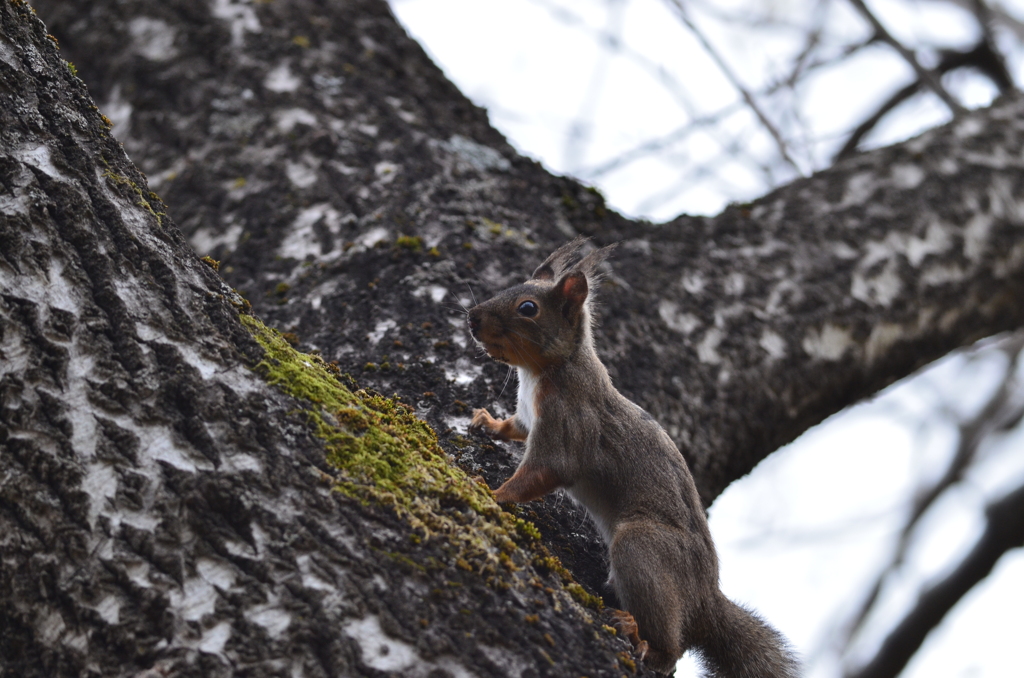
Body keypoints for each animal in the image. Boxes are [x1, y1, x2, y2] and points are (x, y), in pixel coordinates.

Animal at [466, 237, 798, 675]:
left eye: (527, 308)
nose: (472, 318)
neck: (544, 371)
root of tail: (704, 603)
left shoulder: (569, 416)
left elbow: (548, 468)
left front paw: (494, 493)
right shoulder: (527, 414)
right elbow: (515, 428)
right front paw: (488, 422)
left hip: (644, 549)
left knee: (670, 647)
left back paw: (637, 635)